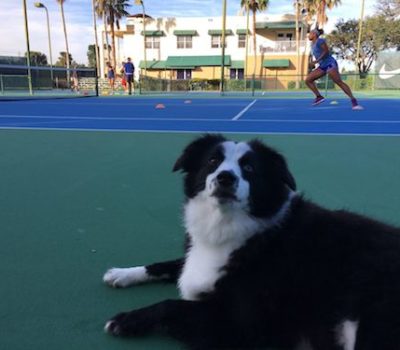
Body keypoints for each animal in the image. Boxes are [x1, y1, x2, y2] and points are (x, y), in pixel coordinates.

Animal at [102, 134, 400, 350]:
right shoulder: (195, 260)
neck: (230, 228)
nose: (225, 177)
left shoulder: (242, 326)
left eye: (249, 167)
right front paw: (124, 274)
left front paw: (126, 320)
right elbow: (166, 264)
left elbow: (170, 305)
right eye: (212, 161)